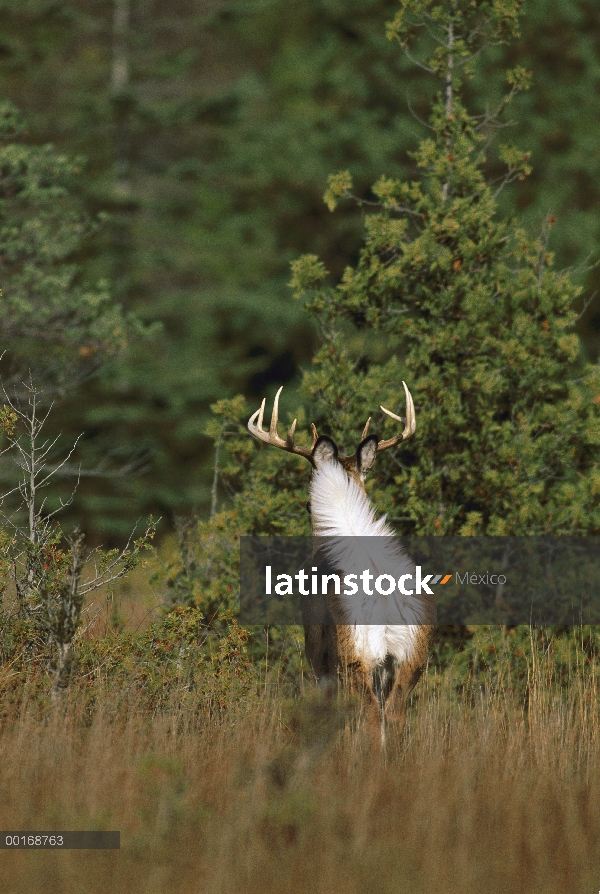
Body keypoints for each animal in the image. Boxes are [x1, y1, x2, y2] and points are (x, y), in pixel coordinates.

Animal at [246, 382, 434, 744]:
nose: (307, 506)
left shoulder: (318, 650)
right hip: (411, 658)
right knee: (394, 717)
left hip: (355, 655)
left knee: (372, 717)